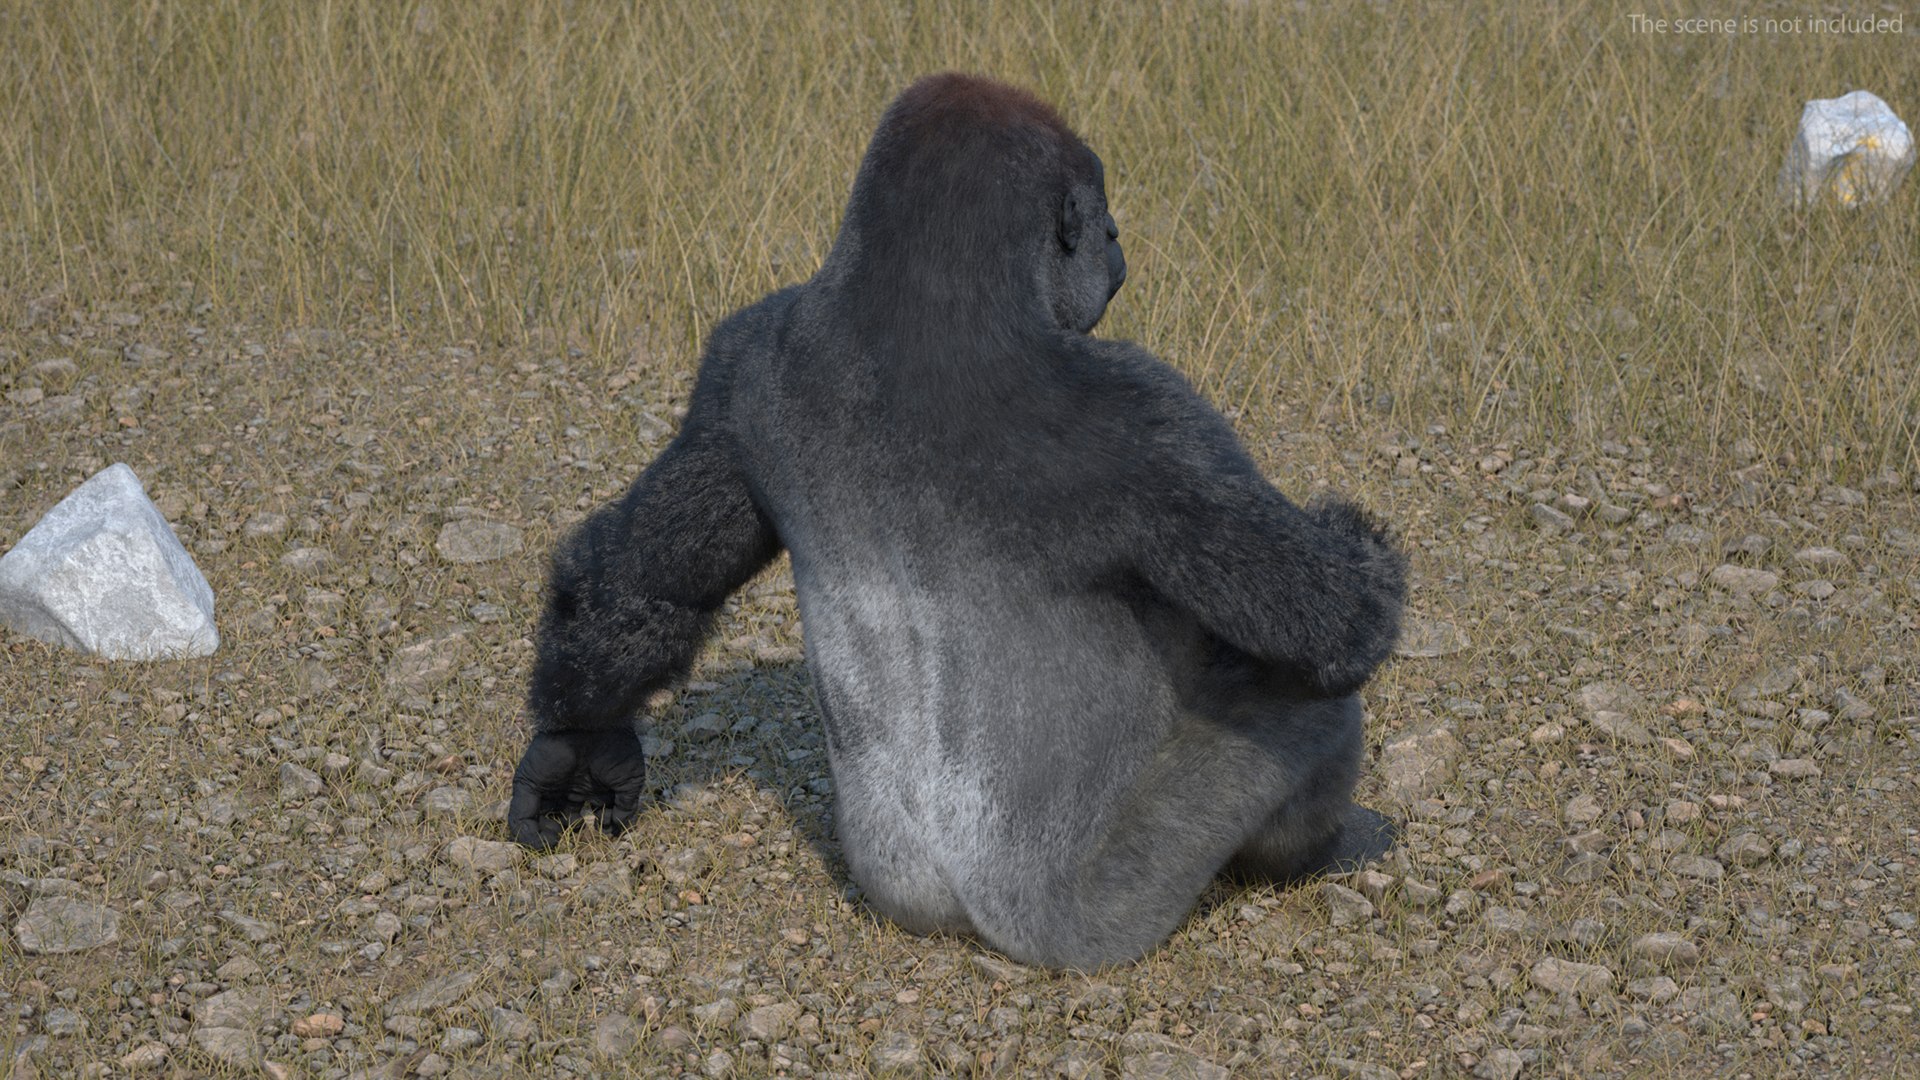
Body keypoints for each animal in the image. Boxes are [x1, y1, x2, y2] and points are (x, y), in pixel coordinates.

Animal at [509, 72, 1406, 970]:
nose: (1116, 240)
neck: (913, 287)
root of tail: (967, 921)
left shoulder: (736, 358)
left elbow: (647, 582)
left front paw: (576, 751)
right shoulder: (1154, 404)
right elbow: (1340, 626)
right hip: (1111, 908)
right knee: (1306, 712)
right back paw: (1327, 847)